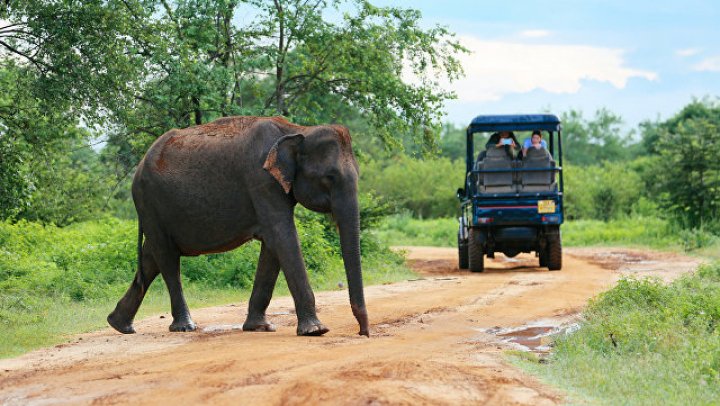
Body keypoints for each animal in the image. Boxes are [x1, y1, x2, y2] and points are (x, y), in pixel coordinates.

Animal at [105, 116, 372, 336]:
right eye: (329, 178)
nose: (363, 333)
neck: (298, 130)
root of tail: (140, 164)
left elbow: (273, 245)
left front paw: (259, 328)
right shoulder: (260, 179)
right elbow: (282, 236)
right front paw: (316, 331)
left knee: (152, 255)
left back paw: (120, 325)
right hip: (148, 200)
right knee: (167, 258)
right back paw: (184, 327)